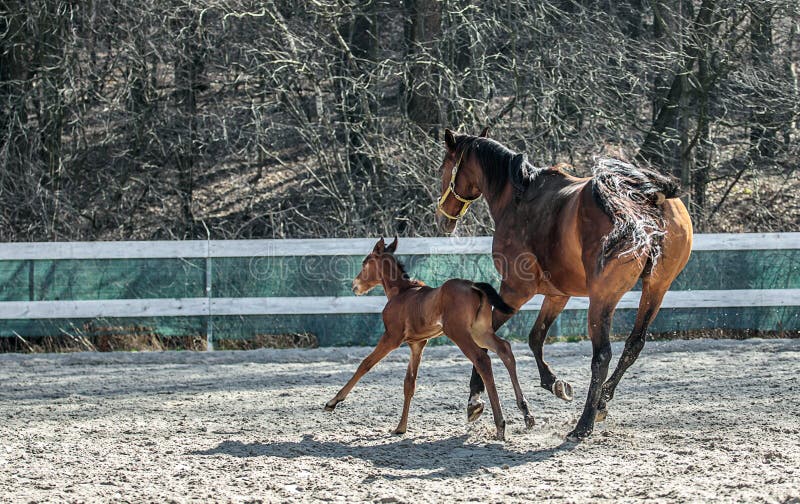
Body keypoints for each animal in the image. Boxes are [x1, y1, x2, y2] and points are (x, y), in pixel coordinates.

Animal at [322, 238, 536, 440]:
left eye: (365, 262)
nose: (354, 286)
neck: (401, 292)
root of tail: (473, 285)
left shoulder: (391, 337)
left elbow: (365, 364)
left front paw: (333, 402)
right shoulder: (417, 344)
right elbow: (409, 383)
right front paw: (400, 428)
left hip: (459, 333)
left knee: (482, 359)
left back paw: (500, 424)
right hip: (480, 332)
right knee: (505, 349)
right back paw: (526, 413)